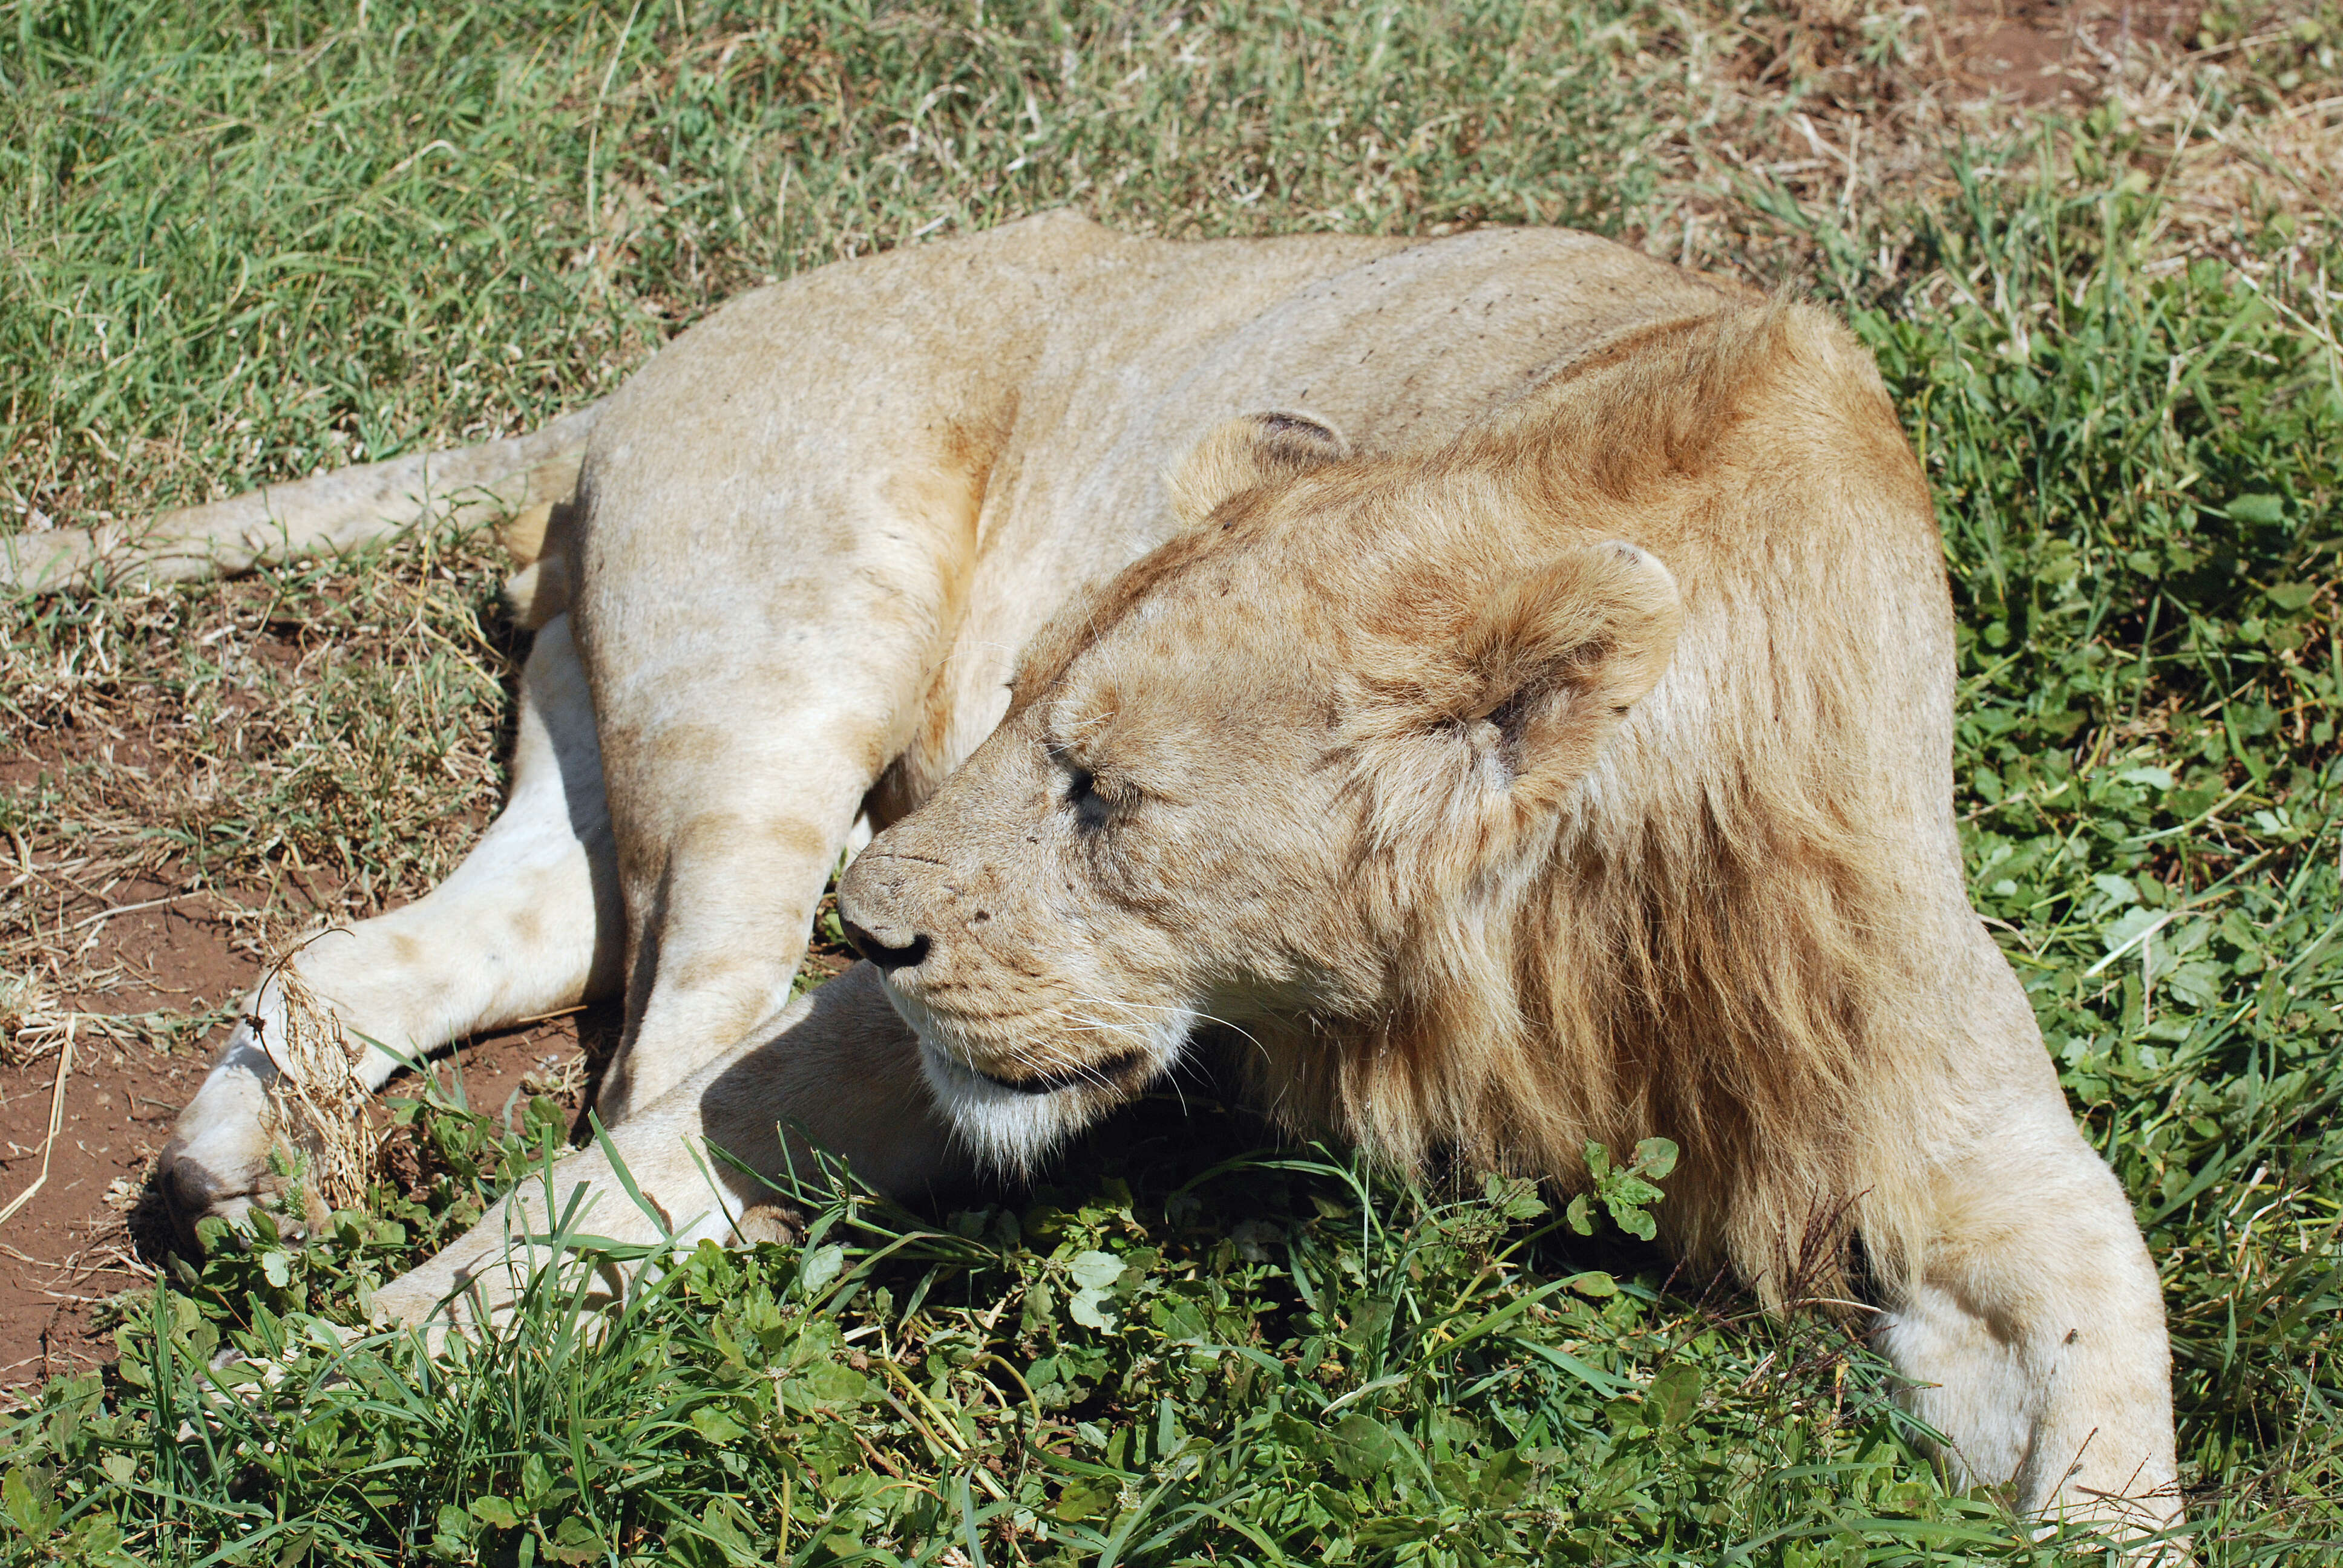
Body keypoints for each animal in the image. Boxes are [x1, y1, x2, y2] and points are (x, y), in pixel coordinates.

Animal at [151, 211, 2174, 1537]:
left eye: (1107, 798)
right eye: (1017, 731)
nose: (882, 929)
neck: (1547, 954)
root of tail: (650, 360)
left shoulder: (1947, 1124)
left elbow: (2117, 1386)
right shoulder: (888, 1029)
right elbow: (616, 1185)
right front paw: (270, 1411)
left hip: (607, 749)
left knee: (401, 953)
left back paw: (244, 1181)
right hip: (781, 661)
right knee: (663, 1045)